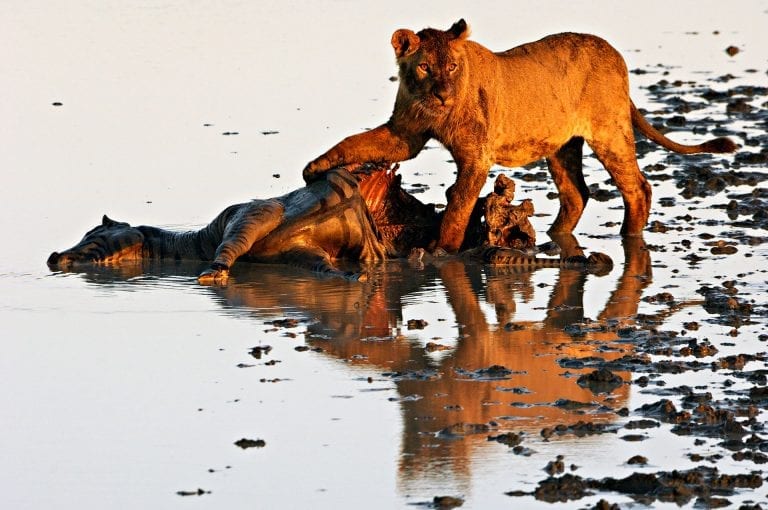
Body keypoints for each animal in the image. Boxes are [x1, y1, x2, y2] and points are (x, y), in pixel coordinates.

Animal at [302, 20, 736, 253]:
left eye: (453, 66)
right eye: (425, 67)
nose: (443, 94)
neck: (435, 109)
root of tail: (616, 56)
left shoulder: (476, 156)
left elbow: (459, 204)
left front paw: (443, 249)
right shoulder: (403, 134)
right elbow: (353, 142)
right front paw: (315, 168)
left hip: (609, 133)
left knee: (638, 186)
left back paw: (628, 235)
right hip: (561, 147)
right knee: (577, 193)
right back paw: (554, 235)